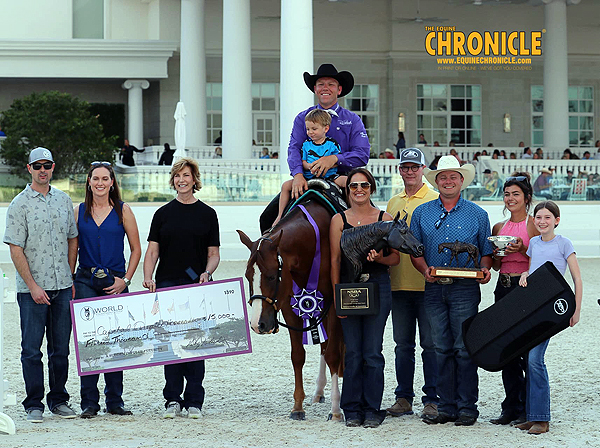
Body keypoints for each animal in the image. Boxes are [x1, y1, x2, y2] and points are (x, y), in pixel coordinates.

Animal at [238, 201, 342, 422]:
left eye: (271, 276)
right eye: (248, 276)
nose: (257, 324)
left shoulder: (335, 304)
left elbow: (333, 355)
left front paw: (336, 409)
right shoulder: (289, 304)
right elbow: (298, 355)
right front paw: (297, 407)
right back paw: (319, 391)